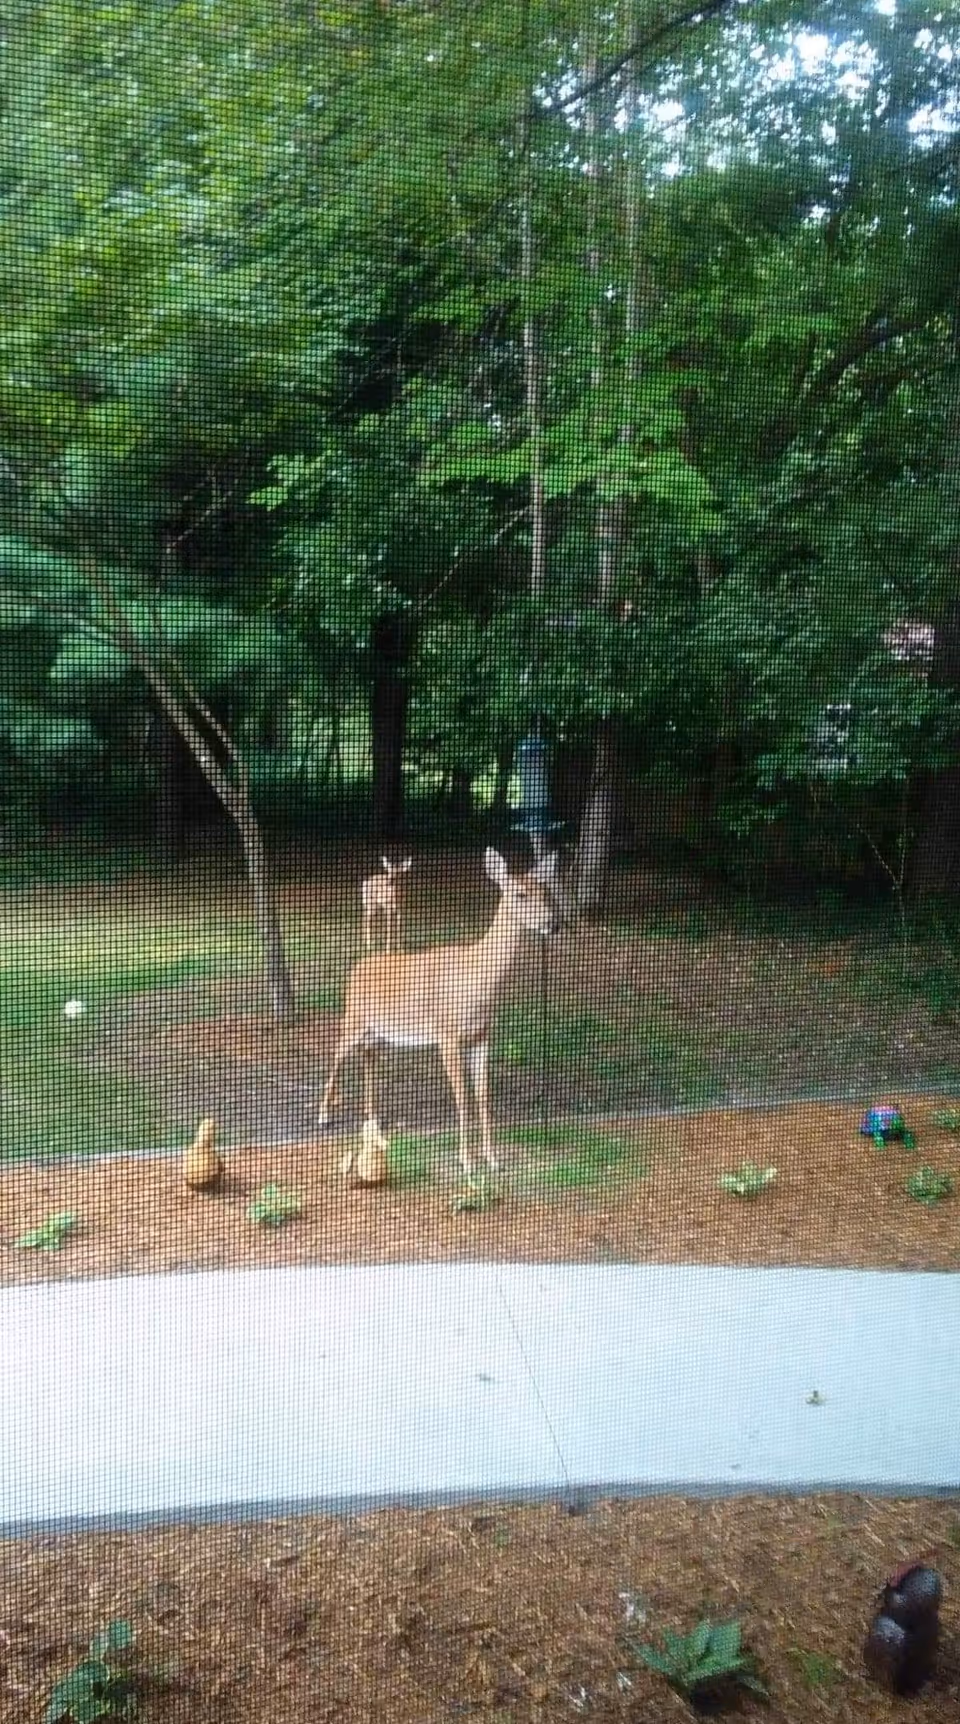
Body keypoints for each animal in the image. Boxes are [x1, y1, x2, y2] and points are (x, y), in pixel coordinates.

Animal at [319, 847, 561, 1182]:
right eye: (520, 894)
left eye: (547, 892)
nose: (554, 923)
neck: (477, 980)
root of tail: (356, 968)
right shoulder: (447, 1034)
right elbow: (462, 1097)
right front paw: (467, 1163)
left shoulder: (482, 1036)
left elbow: (483, 1096)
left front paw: (493, 1159)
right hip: (354, 1018)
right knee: (337, 1055)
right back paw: (324, 1115)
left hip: (380, 1034)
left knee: (369, 1060)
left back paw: (376, 1122)